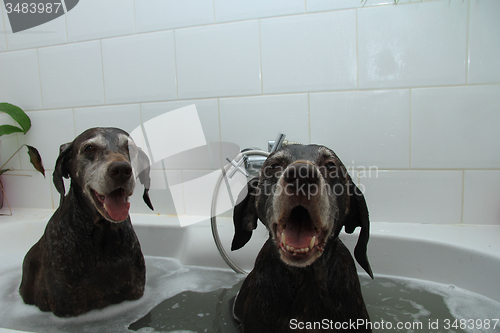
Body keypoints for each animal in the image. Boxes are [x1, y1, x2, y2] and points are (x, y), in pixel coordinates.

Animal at [18, 127, 153, 316]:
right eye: (89, 148)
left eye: (130, 147)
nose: (121, 170)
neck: (102, 237)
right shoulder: (67, 308)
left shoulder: (135, 291)